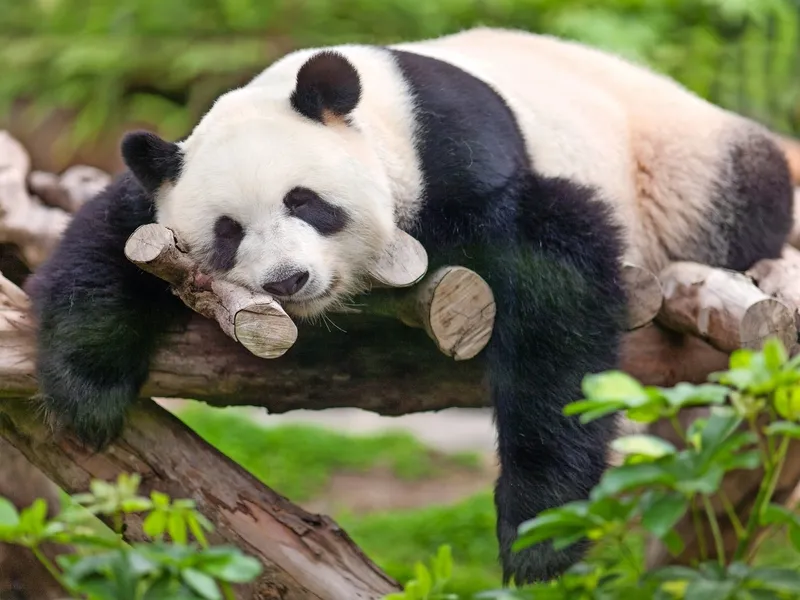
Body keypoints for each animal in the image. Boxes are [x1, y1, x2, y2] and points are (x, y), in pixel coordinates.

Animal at [26, 27, 794, 585]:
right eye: (227, 232)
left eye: (305, 202)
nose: (288, 280)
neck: (382, 117)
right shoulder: (163, 185)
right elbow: (111, 235)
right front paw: (88, 394)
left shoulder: (462, 160)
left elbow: (557, 287)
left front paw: (536, 534)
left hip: (683, 166)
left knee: (742, 200)